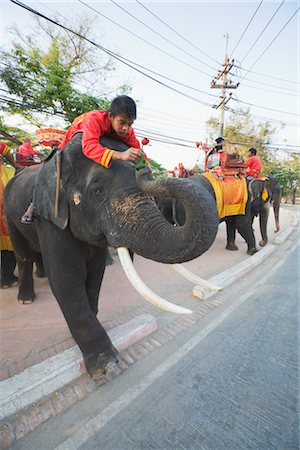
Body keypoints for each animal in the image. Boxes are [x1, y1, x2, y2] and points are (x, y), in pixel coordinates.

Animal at [3, 134, 217, 380]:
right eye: (98, 191)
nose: (143, 169)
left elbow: (96, 272)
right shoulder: (52, 217)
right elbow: (66, 278)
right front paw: (106, 366)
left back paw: (40, 277)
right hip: (9, 214)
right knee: (23, 255)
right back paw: (26, 298)